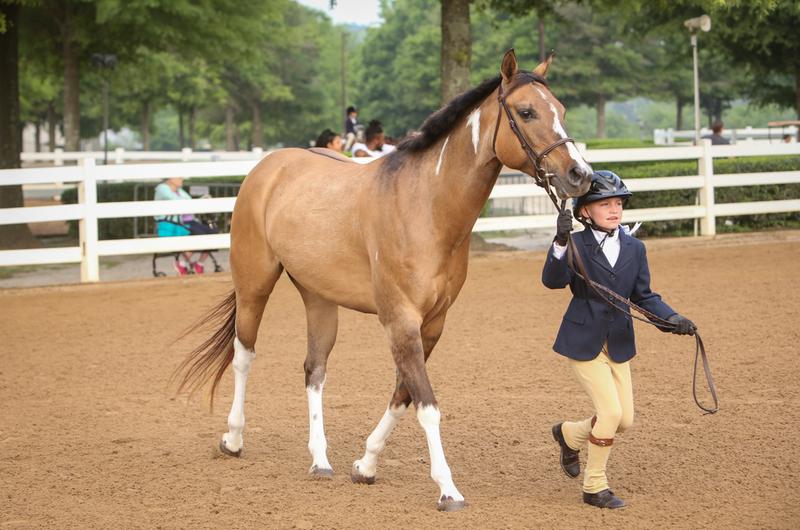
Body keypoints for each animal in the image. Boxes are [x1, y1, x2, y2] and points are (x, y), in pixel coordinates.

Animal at [174, 49, 593, 512]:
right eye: (526, 111)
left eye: (562, 111)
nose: (580, 175)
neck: (425, 205)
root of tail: (270, 166)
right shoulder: (400, 320)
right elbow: (426, 404)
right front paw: (447, 488)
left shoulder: (432, 324)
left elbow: (403, 394)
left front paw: (366, 464)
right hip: (254, 286)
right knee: (243, 355)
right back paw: (232, 439)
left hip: (318, 298)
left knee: (314, 369)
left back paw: (320, 460)